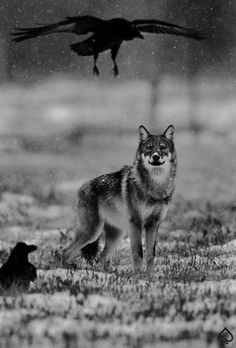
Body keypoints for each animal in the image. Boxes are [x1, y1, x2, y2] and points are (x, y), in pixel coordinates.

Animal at [64, 125, 177, 278]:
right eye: (149, 148)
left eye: (162, 147)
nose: (155, 156)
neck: (155, 187)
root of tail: (82, 187)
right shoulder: (136, 223)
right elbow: (138, 253)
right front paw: (138, 276)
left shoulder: (153, 224)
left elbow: (150, 254)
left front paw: (151, 277)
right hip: (92, 233)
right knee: (65, 251)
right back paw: (65, 270)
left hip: (116, 235)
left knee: (101, 257)